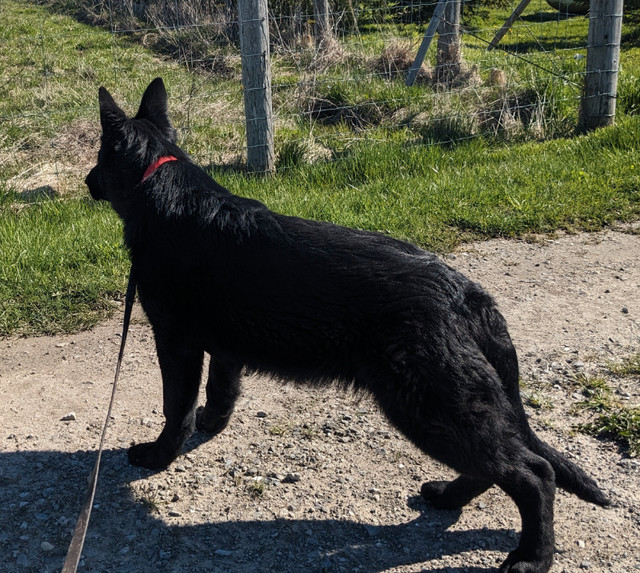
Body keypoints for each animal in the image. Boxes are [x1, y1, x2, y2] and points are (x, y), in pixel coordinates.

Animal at [86, 78, 608, 568]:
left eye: (97, 157)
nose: (88, 182)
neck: (159, 182)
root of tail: (463, 291)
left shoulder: (176, 342)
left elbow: (176, 408)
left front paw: (159, 456)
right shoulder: (225, 347)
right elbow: (221, 391)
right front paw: (210, 425)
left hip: (430, 408)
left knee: (534, 474)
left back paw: (532, 556)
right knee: (498, 466)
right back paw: (448, 497)